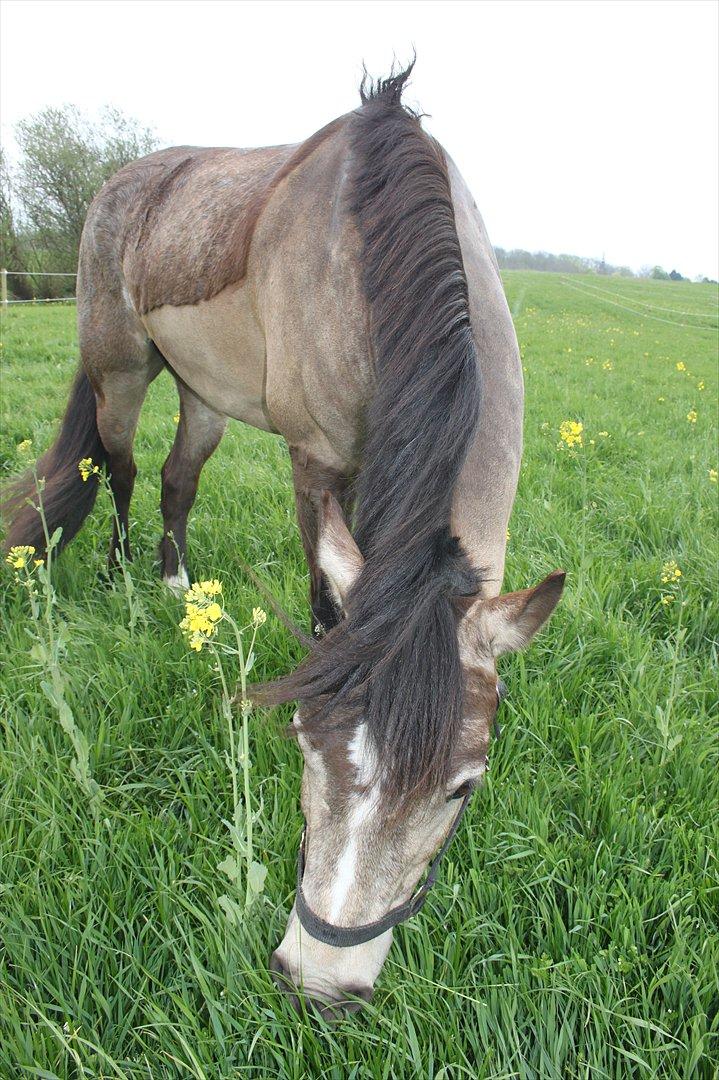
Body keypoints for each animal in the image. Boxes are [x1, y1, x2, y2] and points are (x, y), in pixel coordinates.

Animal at [4, 65, 565, 1010]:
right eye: (306, 742)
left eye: (462, 789)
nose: (321, 981)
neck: (373, 257)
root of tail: (125, 180)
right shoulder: (317, 462)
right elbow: (324, 605)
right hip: (121, 369)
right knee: (119, 470)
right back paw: (123, 583)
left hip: (201, 392)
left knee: (177, 479)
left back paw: (173, 585)